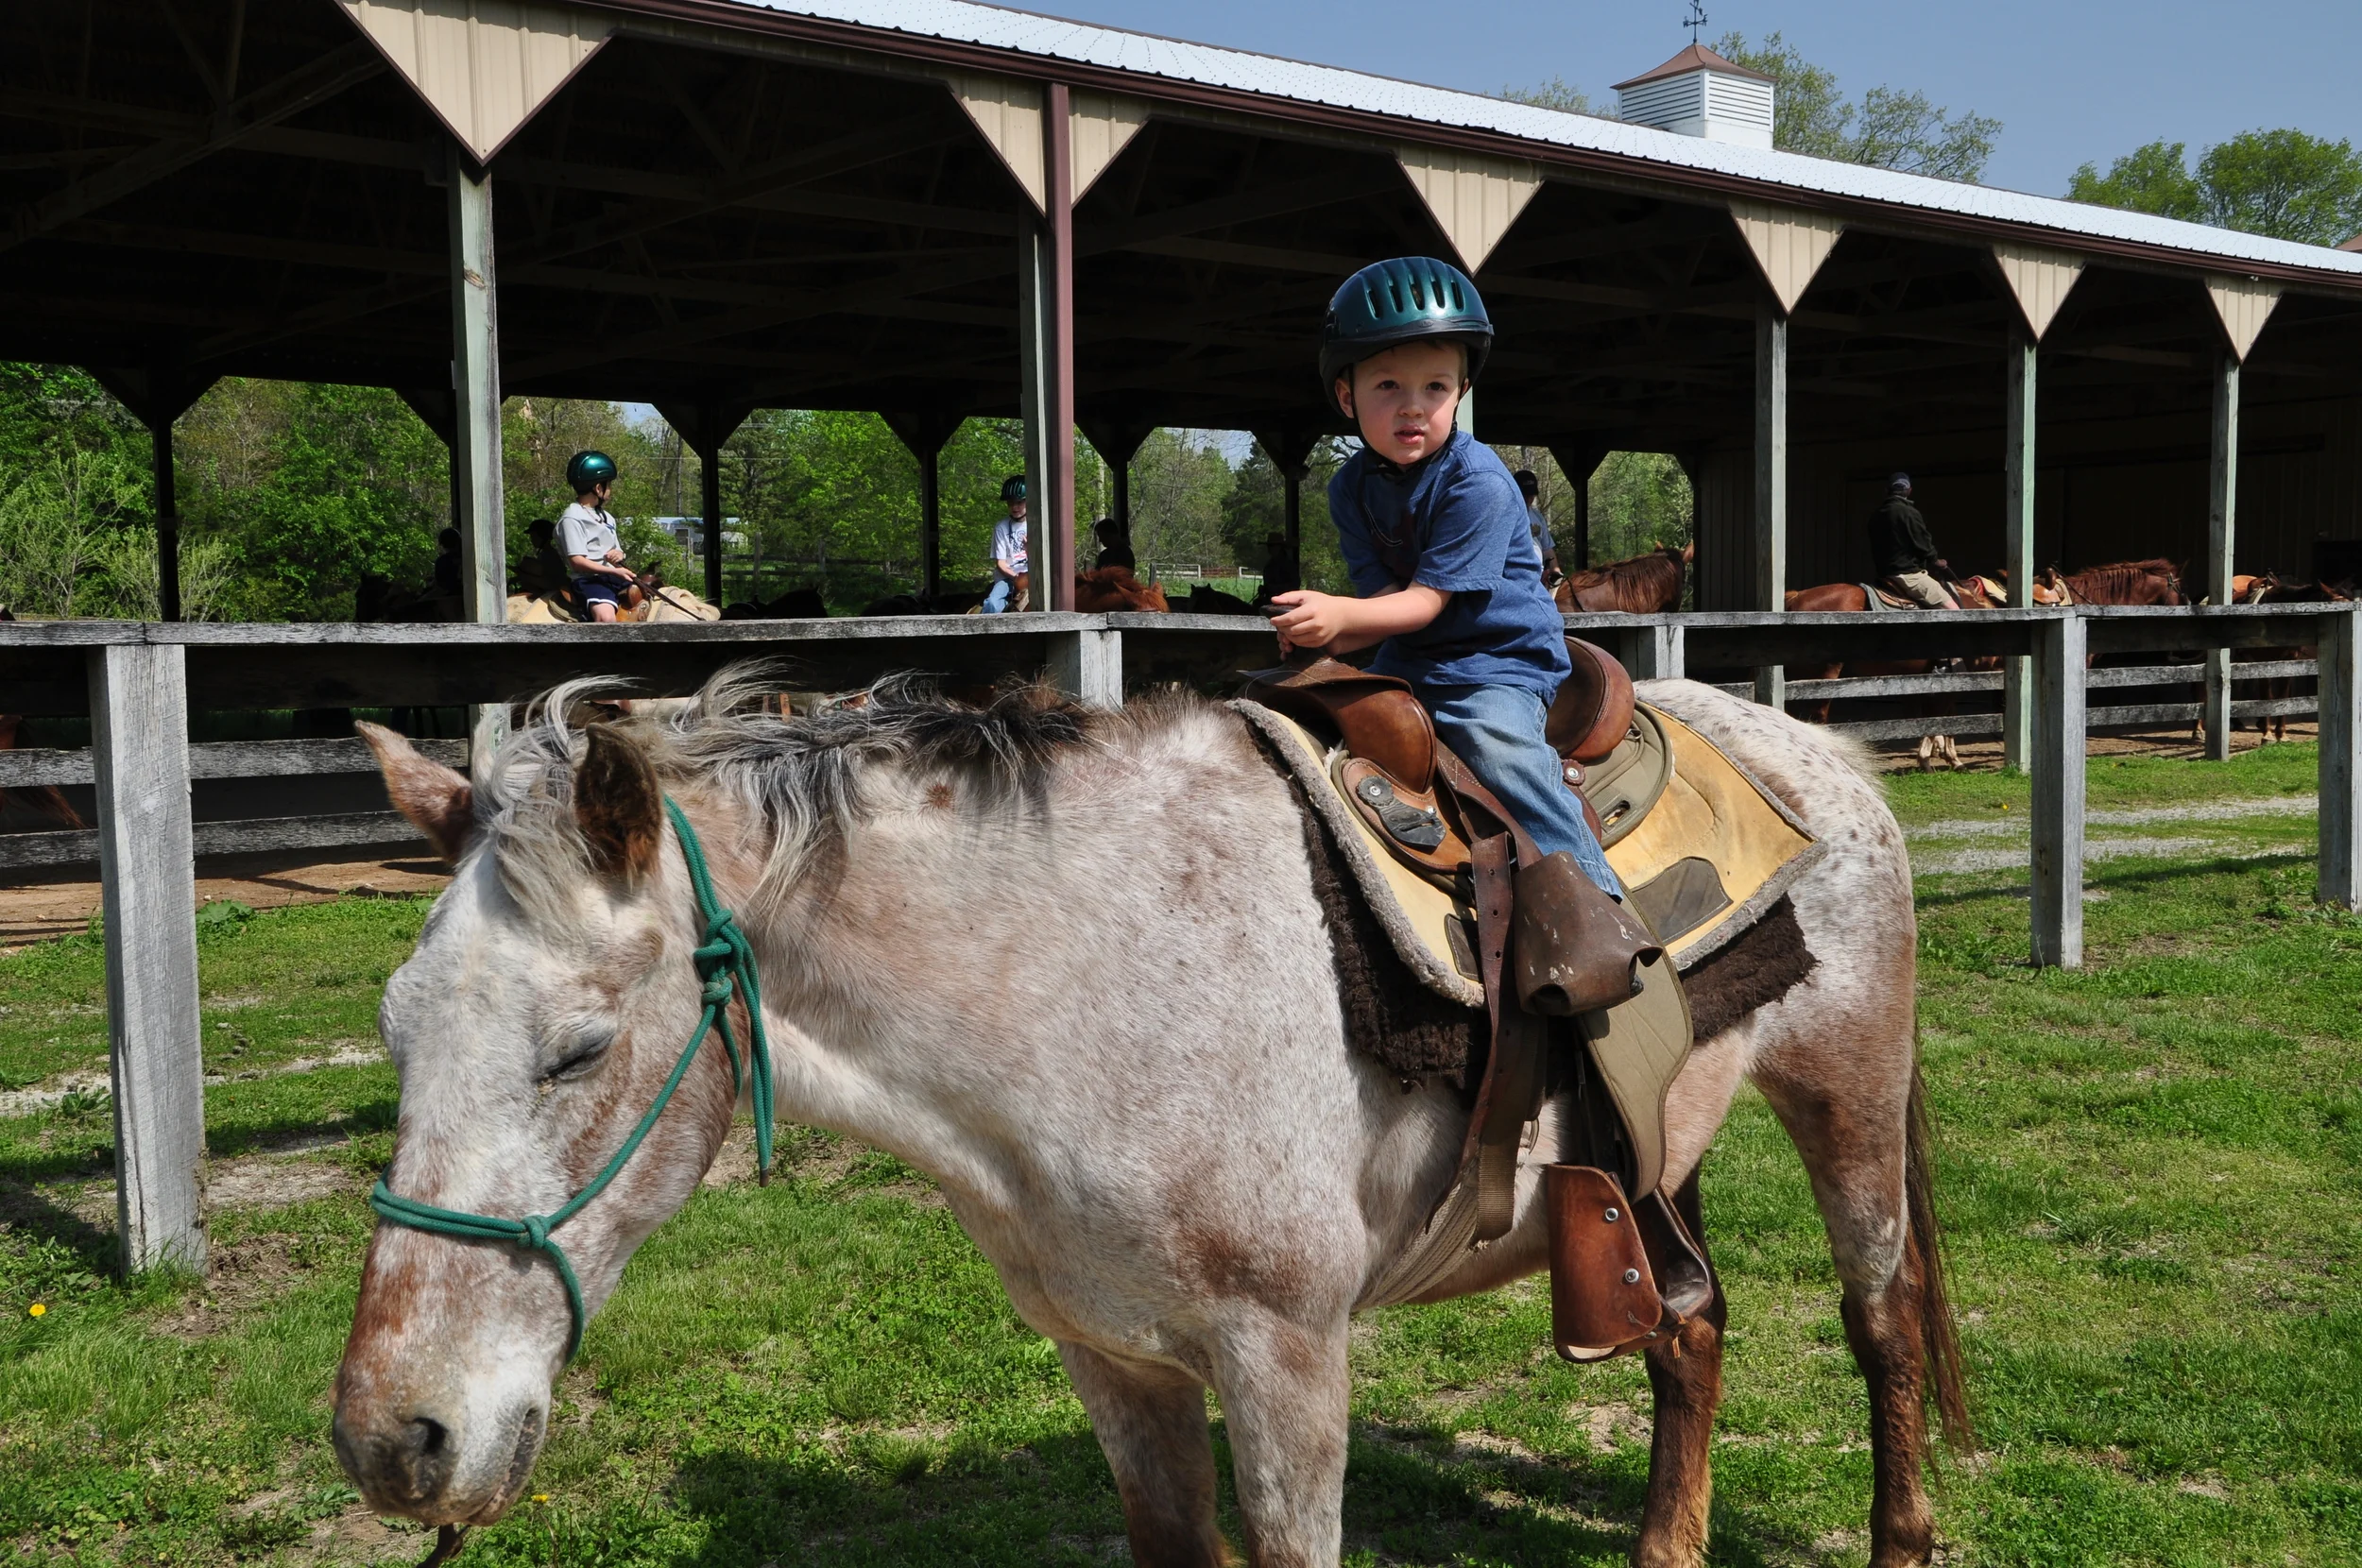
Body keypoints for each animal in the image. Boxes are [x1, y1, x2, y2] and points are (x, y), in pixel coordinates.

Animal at [334, 671, 1969, 1568]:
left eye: (579, 1050)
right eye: (396, 1032)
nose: (393, 1441)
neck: (1092, 987)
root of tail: (1820, 758)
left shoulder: (1289, 1363)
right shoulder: (1111, 1358)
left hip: (1844, 1101)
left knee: (1881, 1320)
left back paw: (1903, 1537)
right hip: (1655, 1155)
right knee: (1690, 1329)